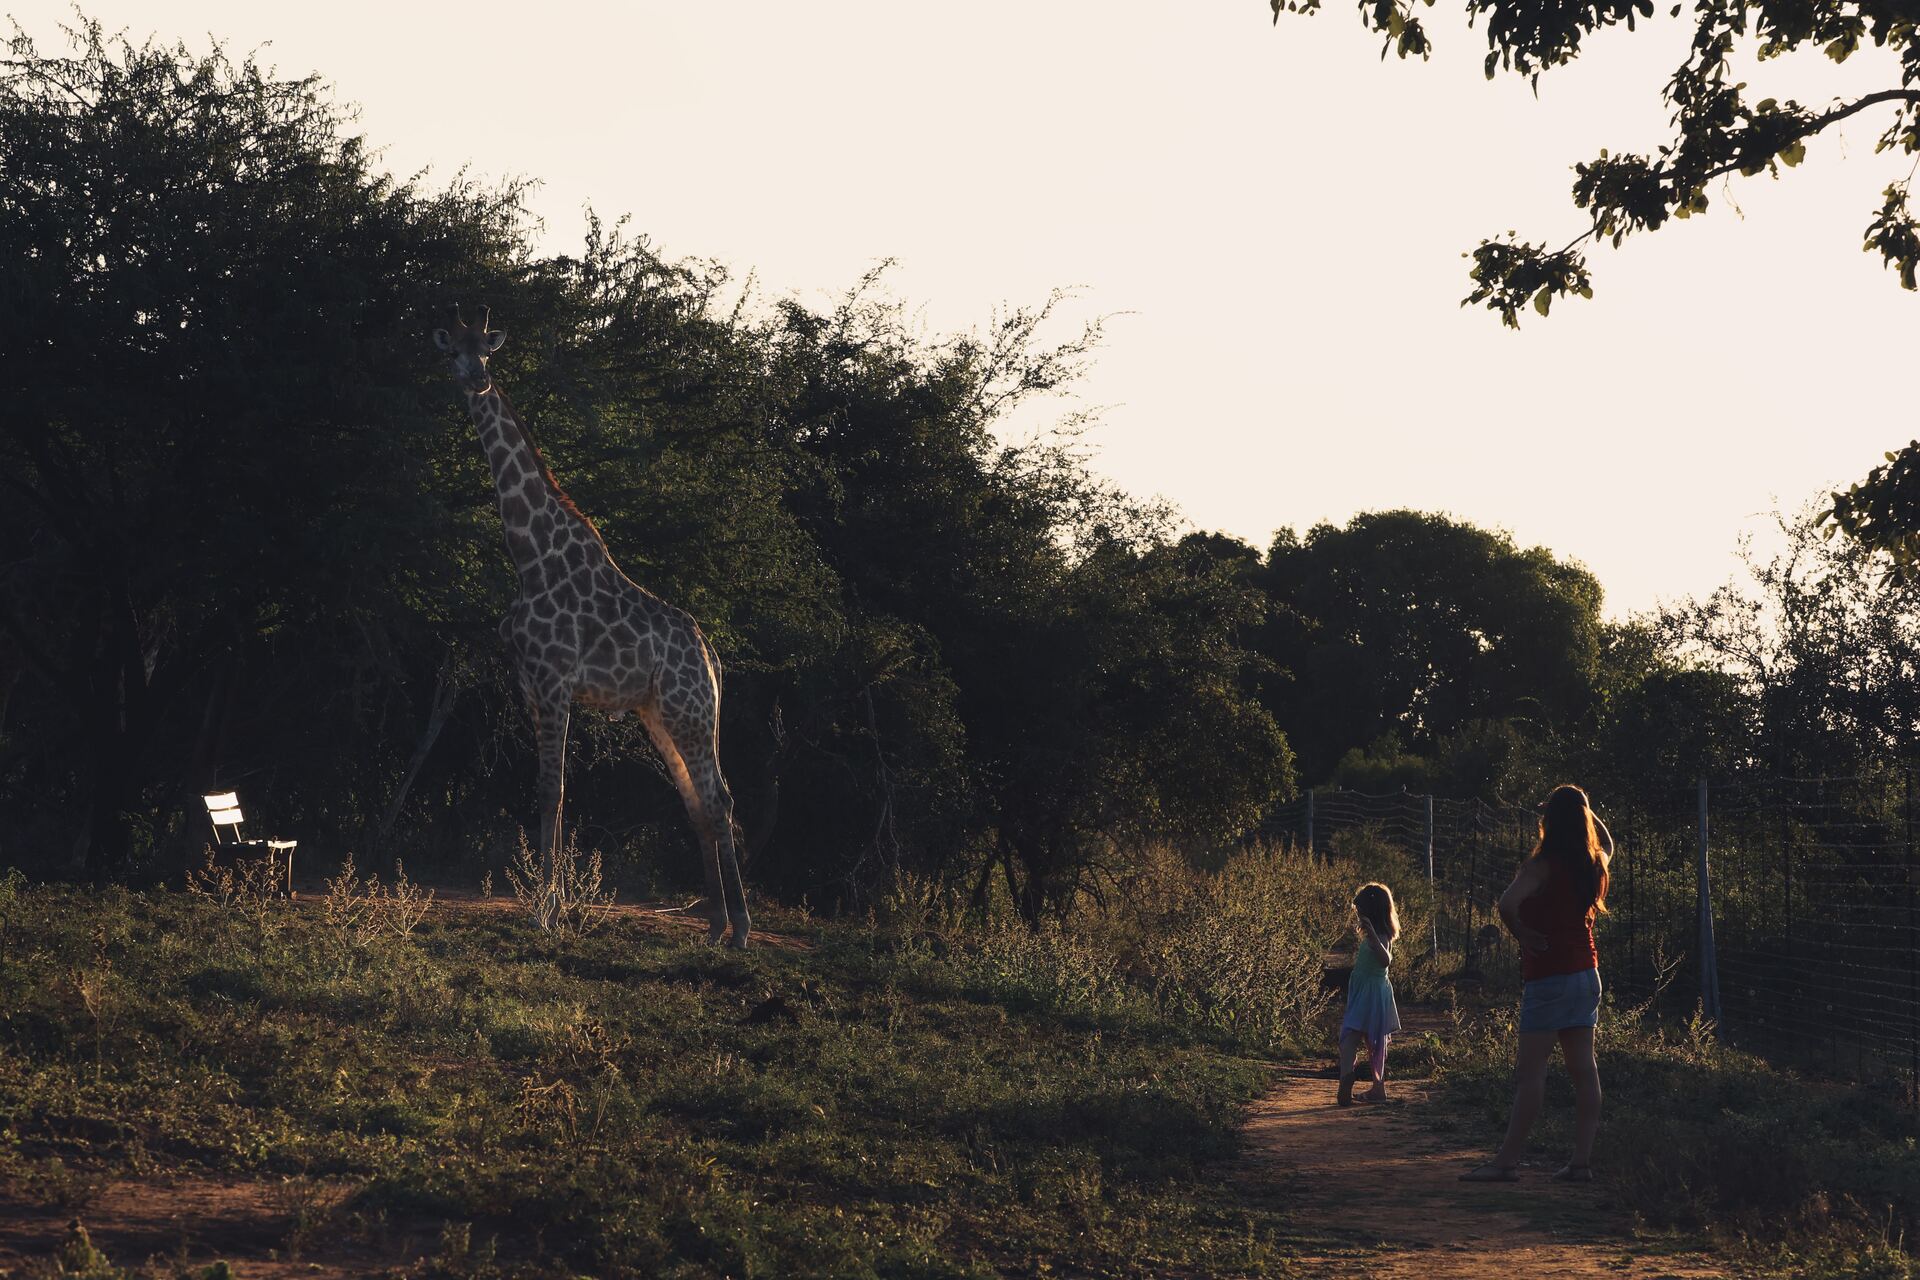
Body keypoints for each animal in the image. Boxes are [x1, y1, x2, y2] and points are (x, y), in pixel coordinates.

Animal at [434, 308, 750, 948]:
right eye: (453, 350)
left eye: (488, 350)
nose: (477, 379)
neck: (529, 556)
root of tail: (711, 657)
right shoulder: (530, 686)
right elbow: (544, 790)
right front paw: (548, 905)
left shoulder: (556, 682)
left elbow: (553, 791)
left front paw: (546, 911)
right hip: (660, 714)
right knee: (697, 803)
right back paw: (712, 927)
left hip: (691, 711)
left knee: (720, 799)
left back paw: (742, 931)